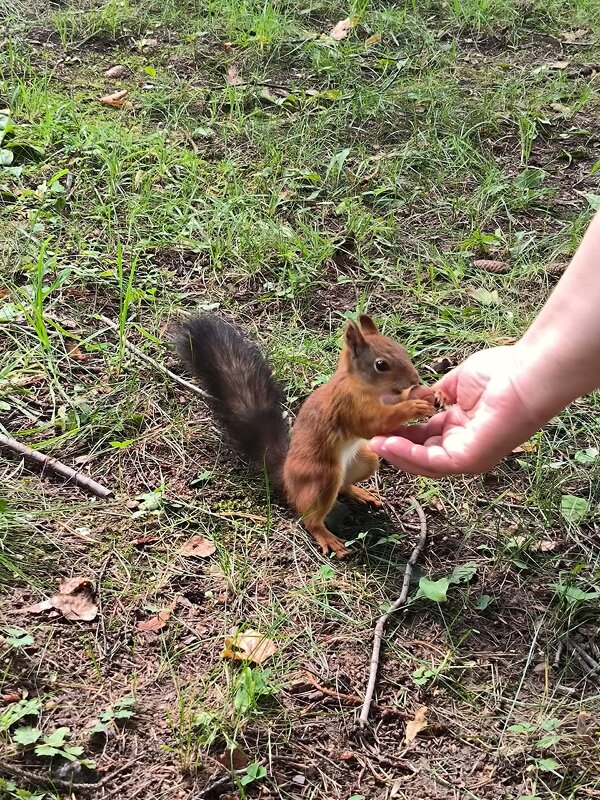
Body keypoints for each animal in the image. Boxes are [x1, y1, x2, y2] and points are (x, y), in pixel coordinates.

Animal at [173, 312, 440, 556]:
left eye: (401, 349)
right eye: (381, 365)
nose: (415, 378)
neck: (366, 388)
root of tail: (285, 475)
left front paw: (427, 394)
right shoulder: (347, 408)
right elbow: (374, 425)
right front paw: (413, 406)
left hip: (365, 460)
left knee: (343, 486)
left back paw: (360, 492)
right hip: (322, 476)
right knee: (309, 518)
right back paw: (325, 536)